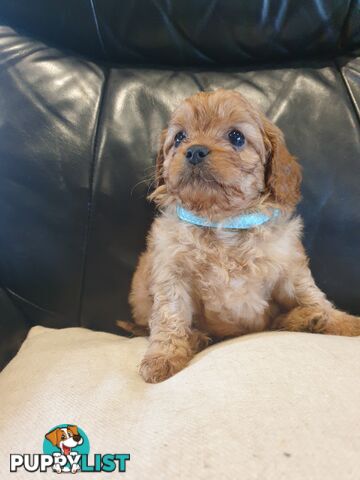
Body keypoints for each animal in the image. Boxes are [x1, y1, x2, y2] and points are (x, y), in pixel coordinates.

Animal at [125, 89, 358, 382]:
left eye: (236, 137)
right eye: (179, 137)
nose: (194, 151)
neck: (223, 221)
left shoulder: (290, 270)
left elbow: (314, 296)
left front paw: (344, 322)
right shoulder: (171, 272)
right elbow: (170, 315)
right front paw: (163, 356)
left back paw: (305, 319)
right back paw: (197, 337)